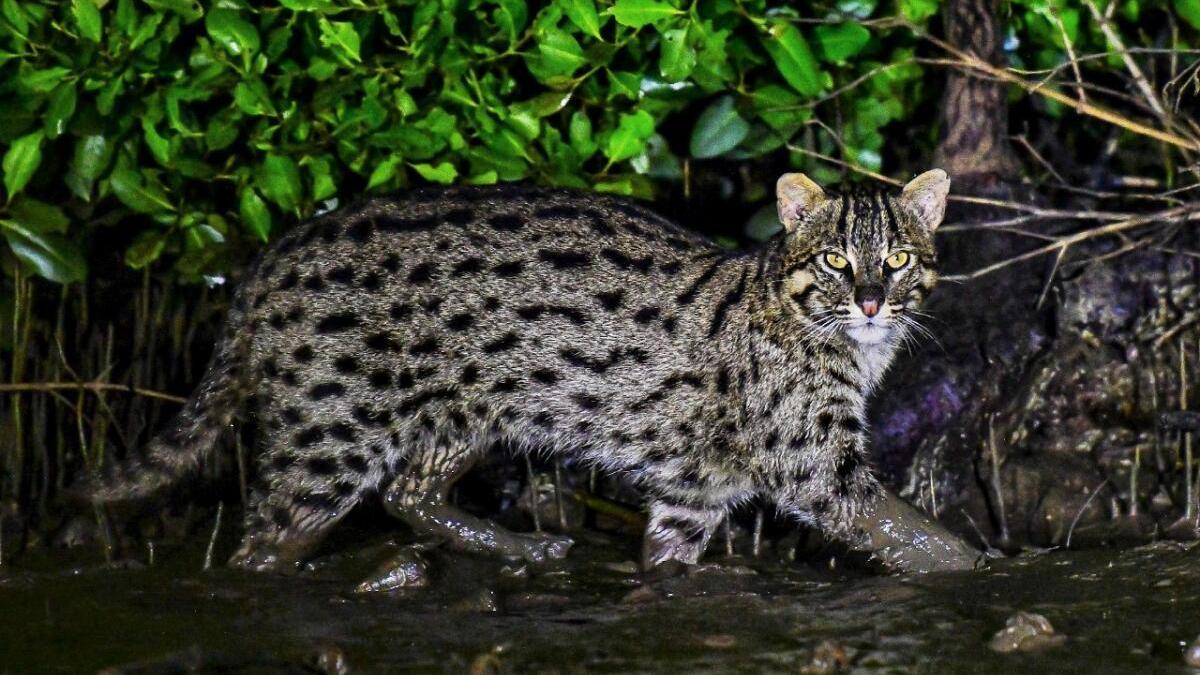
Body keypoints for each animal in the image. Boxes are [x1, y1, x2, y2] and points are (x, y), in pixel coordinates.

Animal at [87, 168, 974, 571]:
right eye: (835, 261)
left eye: (898, 259)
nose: (870, 301)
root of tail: (270, 259)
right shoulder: (813, 463)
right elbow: (912, 535)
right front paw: (980, 573)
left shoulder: (691, 492)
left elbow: (669, 556)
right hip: (328, 436)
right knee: (263, 541)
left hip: (465, 416)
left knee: (408, 492)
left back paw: (512, 545)